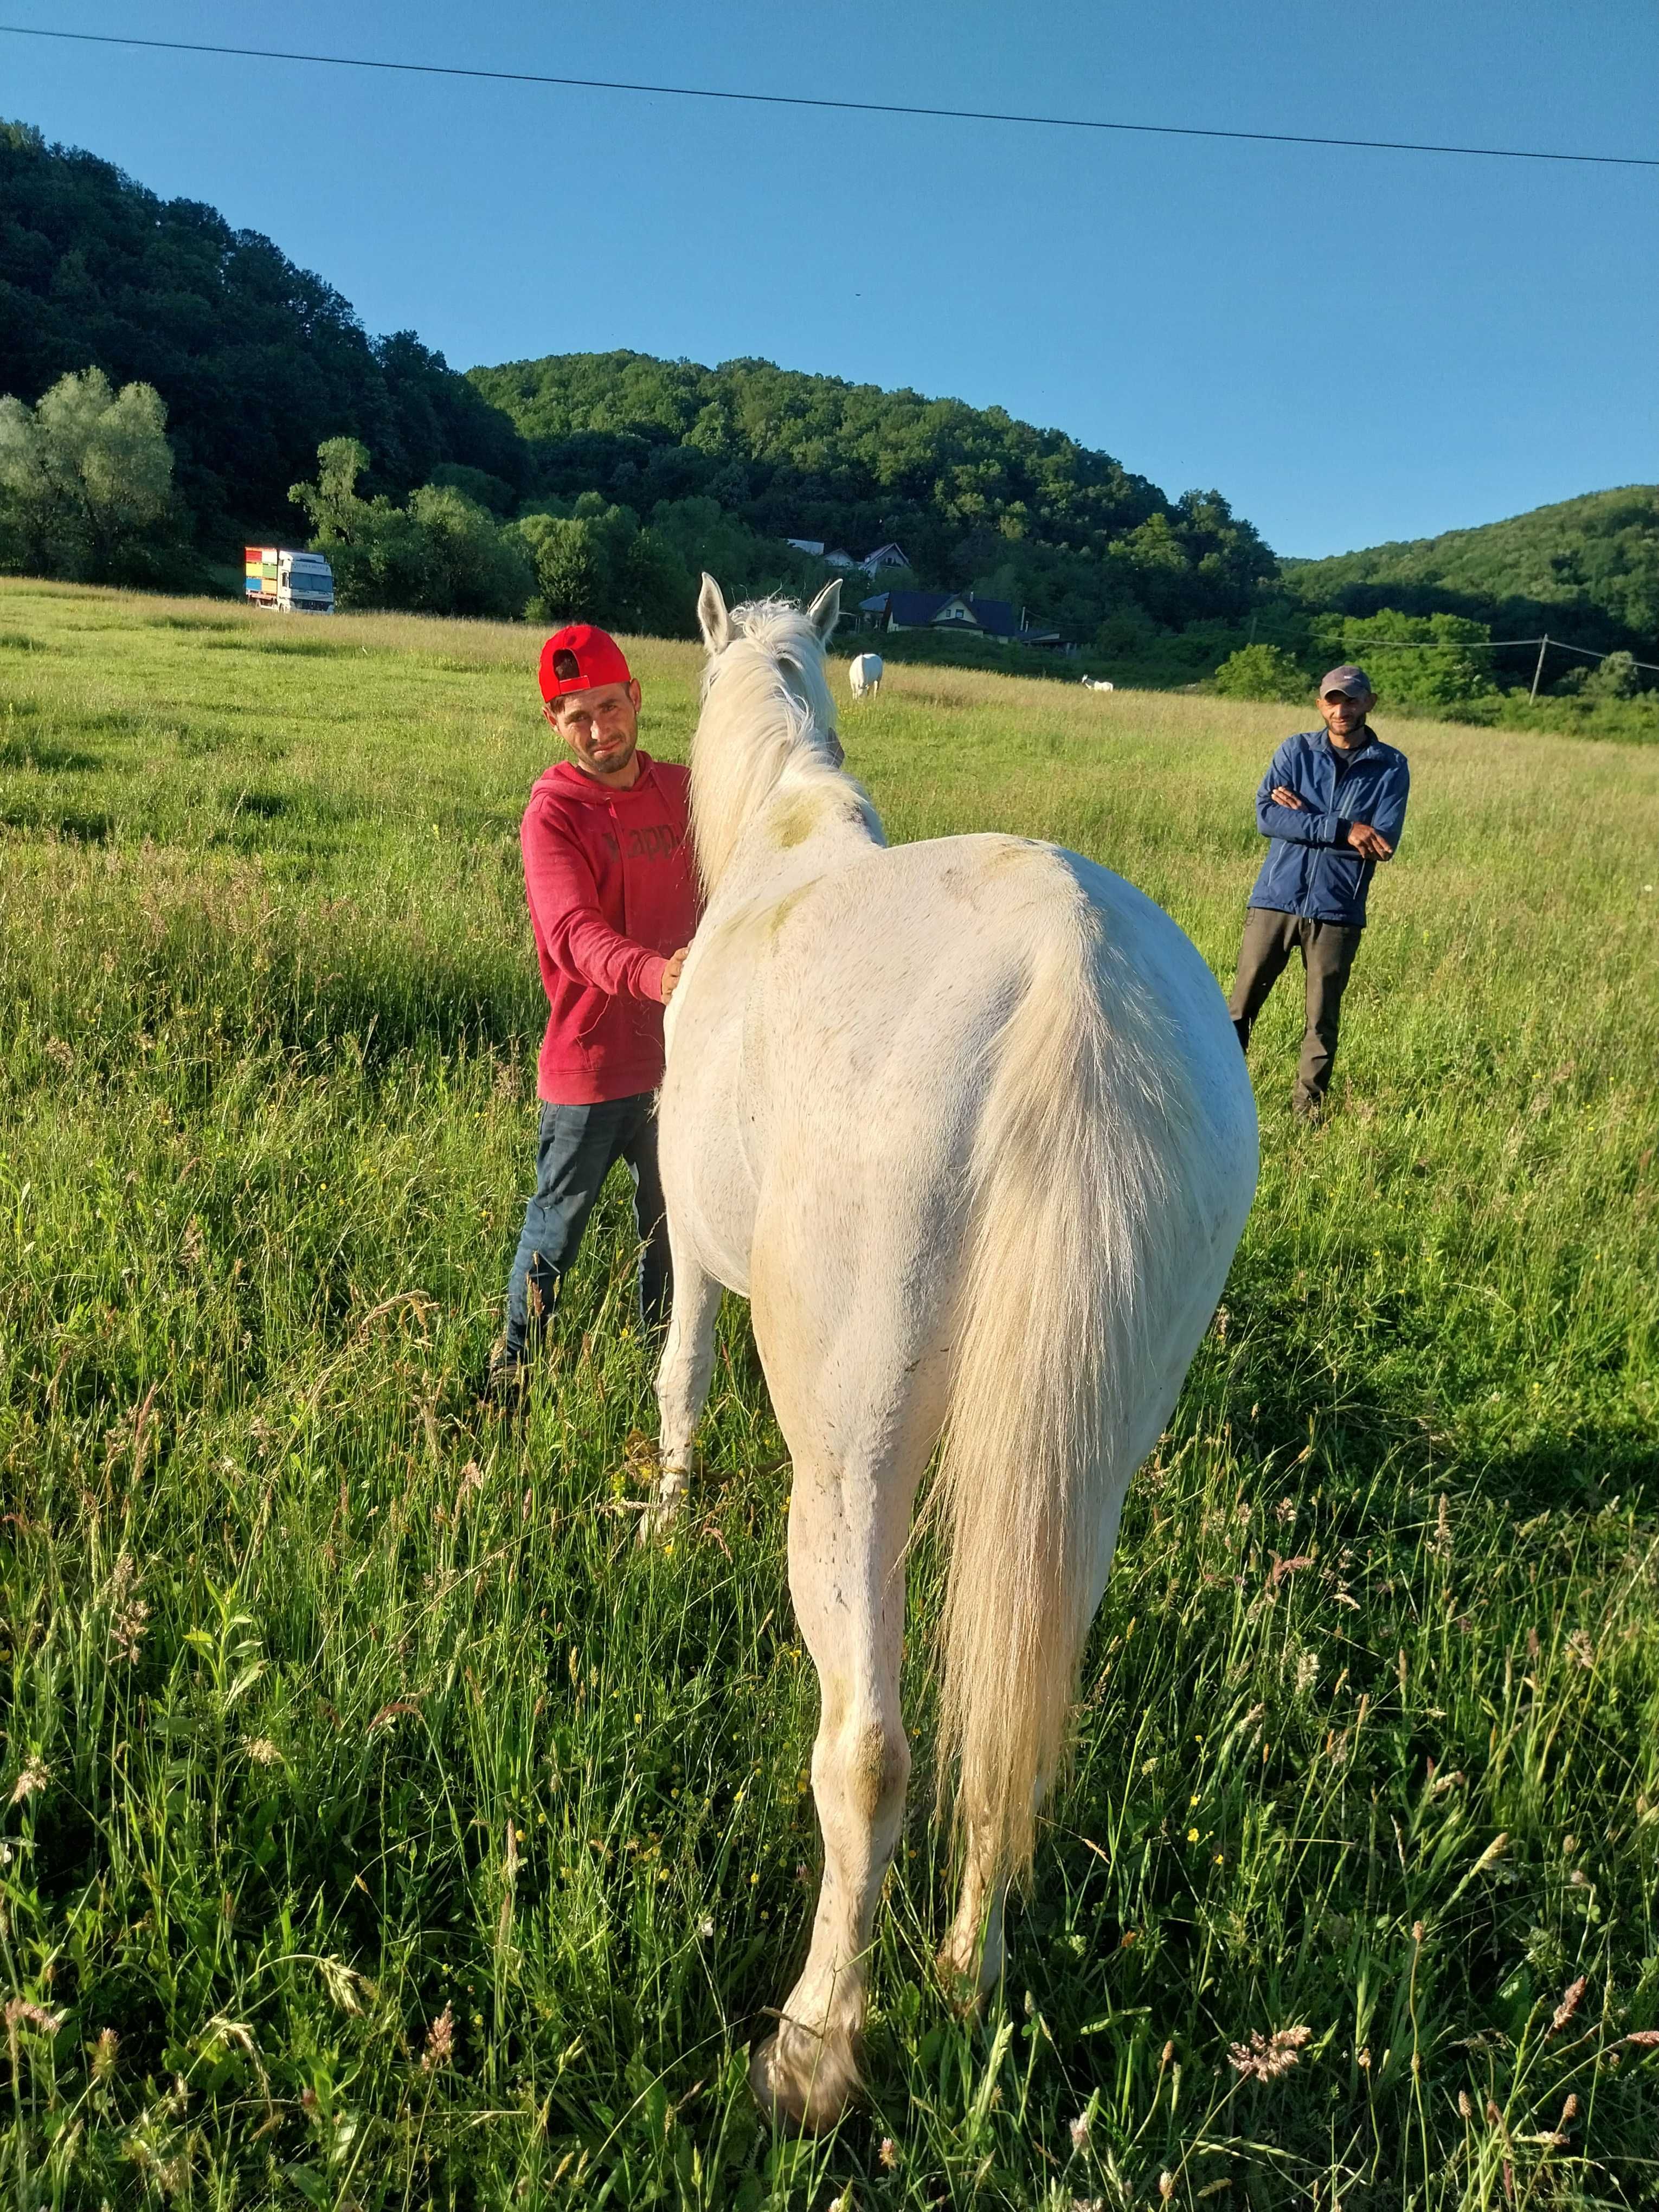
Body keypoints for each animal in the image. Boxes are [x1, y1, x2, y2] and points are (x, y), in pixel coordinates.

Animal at [641, 570, 1256, 2123]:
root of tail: (1072, 963)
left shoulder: (690, 1234)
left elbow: (680, 1379)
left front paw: (661, 1525)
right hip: (1085, 1467)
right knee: (1007, 1724)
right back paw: (969, 1981)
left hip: (849, 1470)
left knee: (868, 1747)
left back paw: (816, 2045)